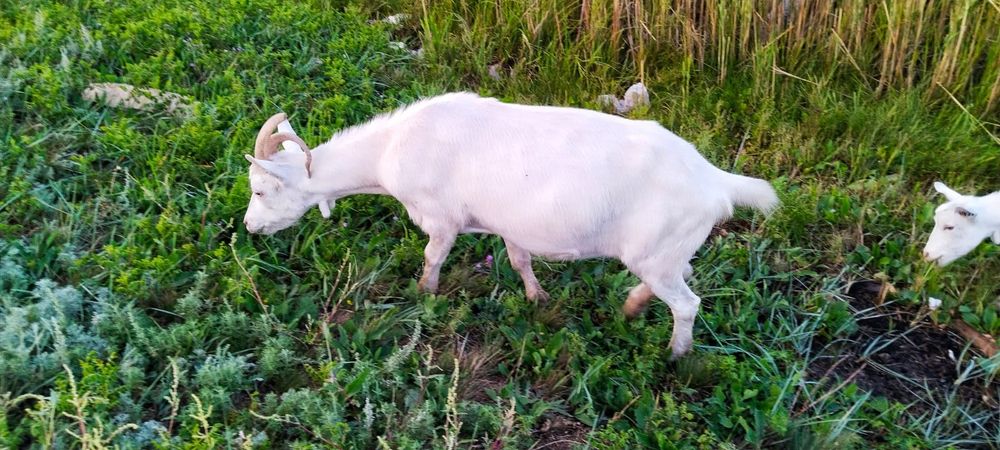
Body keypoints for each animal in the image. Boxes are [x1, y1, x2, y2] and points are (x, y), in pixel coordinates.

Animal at [242, 92, 778, 357]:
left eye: (261, 190)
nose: (249, 229)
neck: (388, 150)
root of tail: (714, 180)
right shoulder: (507, 223)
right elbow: (519, 258)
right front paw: (536, 298)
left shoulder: (441, 217)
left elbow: (432, 257)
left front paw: (424, 296)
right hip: (668, 251)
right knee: (679, 277)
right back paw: (630, 306)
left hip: (657, 251)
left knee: (687, 303)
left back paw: (676, 354)